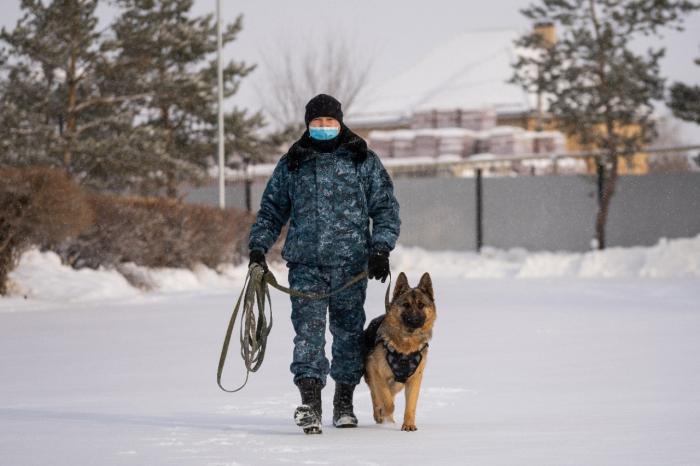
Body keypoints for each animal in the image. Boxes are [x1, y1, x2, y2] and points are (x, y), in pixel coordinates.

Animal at [364, 272, 434, 432]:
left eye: (421, 305)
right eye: (406, 305)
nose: (414, 320)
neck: (406, 346)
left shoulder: (414, 379)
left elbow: (411, 405)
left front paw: (408, 424)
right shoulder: (377, 372)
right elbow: (386, 400)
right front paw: (383, 412)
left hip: (399, 383)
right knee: (375, 394)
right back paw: (380, 414)